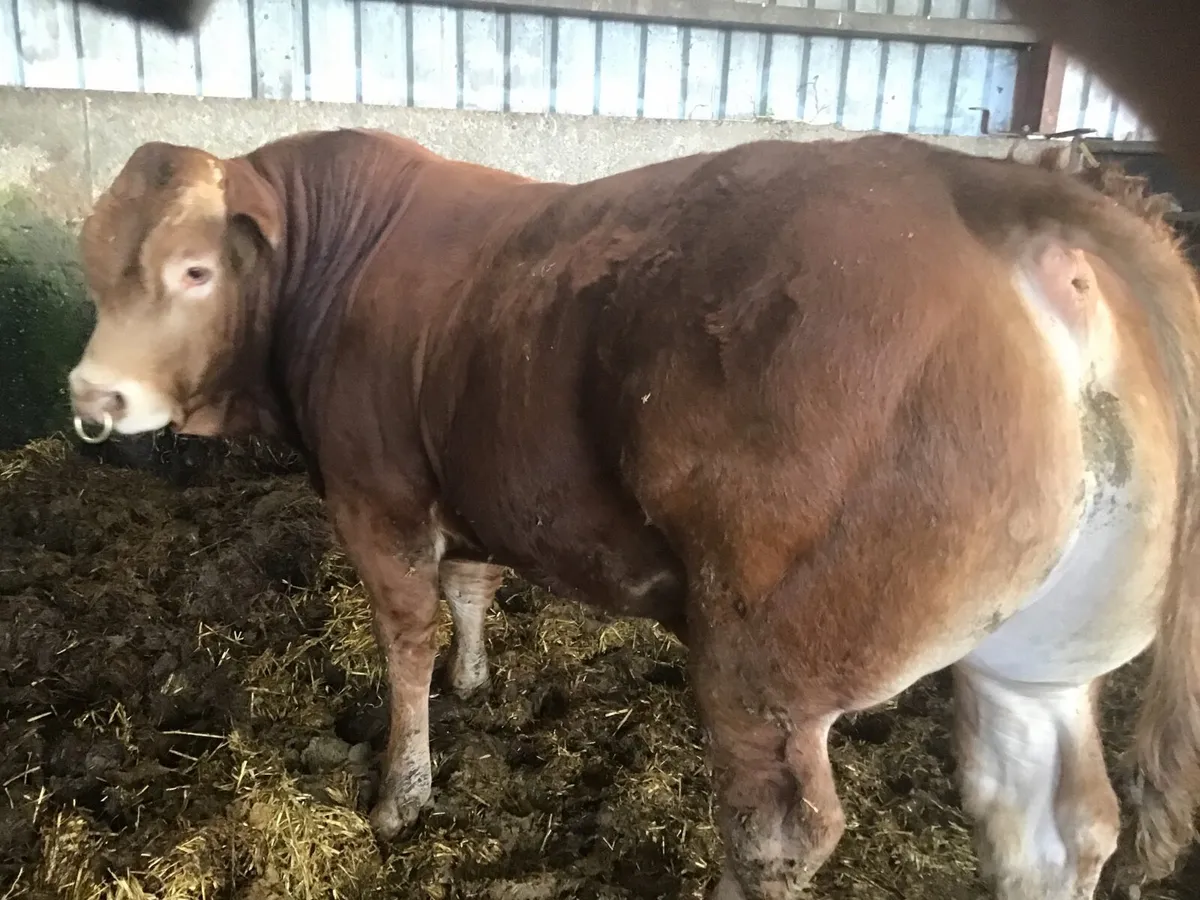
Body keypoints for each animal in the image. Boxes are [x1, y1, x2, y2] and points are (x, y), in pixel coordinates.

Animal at [66, 127, 1200, 900]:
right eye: (94, 267)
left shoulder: (372, 493)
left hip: (765, 658)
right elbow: (471, 585)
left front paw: (402, 794)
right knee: (1057, 826)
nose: (91, 398)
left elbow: (405, 641)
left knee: (778, 834)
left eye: (194, 269)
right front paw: (476, 682)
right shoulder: (476, 480)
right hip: (1036, 661)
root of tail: (989, 190)